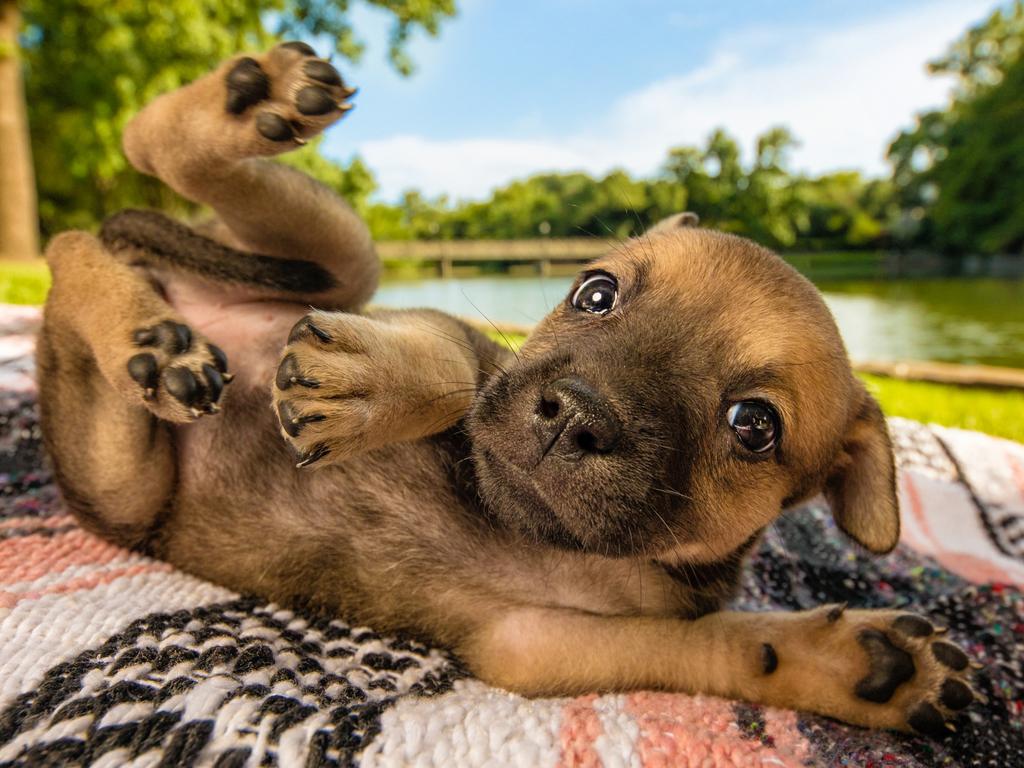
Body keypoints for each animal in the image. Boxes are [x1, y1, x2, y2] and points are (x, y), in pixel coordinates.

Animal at [37, 43, 974, 741]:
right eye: (593, 293)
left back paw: (154, 334)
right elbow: (456, 371)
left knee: (77, 242)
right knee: (115, 184)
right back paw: (226, 152)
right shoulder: (461, 341)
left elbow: (724, 650)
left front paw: (865, 669)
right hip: (344, 268)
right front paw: (362, 386)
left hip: (132, 477)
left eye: (753, 426)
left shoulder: (535, 643)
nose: (576, 416)